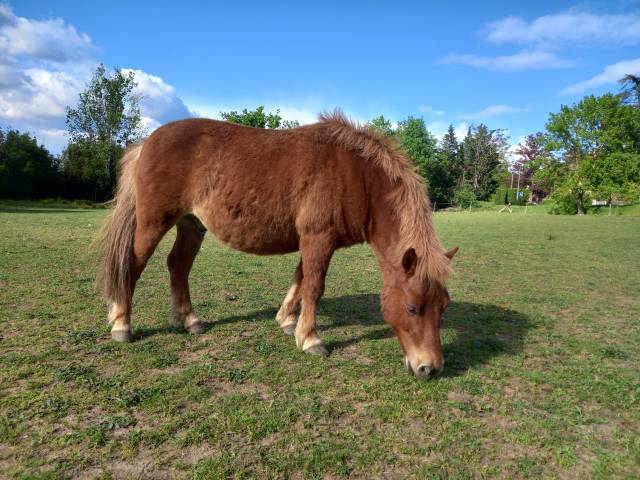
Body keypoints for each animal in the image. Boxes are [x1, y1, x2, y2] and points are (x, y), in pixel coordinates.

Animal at [95, 111, 458, 378]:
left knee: (178, 266)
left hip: (191, 225)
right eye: (412, 308)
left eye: (444, 307)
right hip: (153, 223)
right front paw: (310, 339)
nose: (430, 368)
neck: (358, 176)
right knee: (133, 265)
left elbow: (300, 281)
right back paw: (122, 323)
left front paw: (287, 322)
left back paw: (190, 320)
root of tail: (146, 142)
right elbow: (313, 287)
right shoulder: (318, 238)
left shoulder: (315, 242)